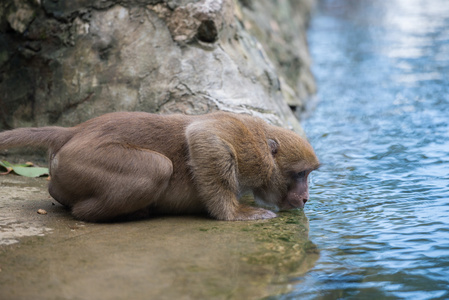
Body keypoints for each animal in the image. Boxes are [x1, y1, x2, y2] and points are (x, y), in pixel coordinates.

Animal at [0, 111, 318, 221]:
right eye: (300, 173)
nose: (305, 197)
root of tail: (73, 132)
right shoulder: (251, 152)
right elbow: (202, 135)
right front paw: (234, 213)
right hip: (83, 158)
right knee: (157, 168)